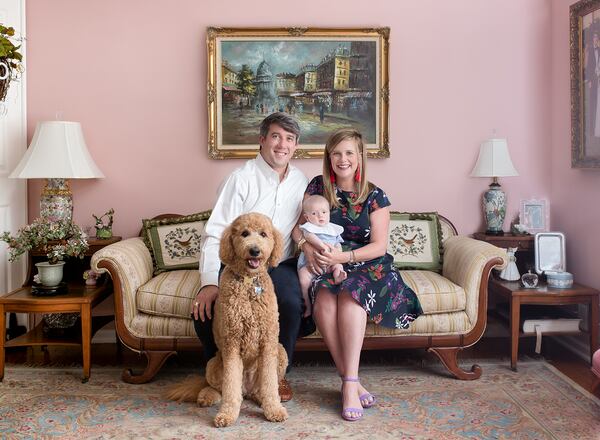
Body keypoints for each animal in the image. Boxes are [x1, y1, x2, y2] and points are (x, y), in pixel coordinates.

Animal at [166, 212, 288, 426]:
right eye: (244, 233)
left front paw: (273, 409)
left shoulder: (268, 342)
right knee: (220, 388)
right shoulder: (232, 343)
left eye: (263, 234)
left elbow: (270, 384)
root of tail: (247, 389)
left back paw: (260, 397)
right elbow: (230, 386)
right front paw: (227, 414)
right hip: (213, 364)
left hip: (281, 352)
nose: (254, 250)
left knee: (259, 388)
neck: (249, 284)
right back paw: (207, 396)